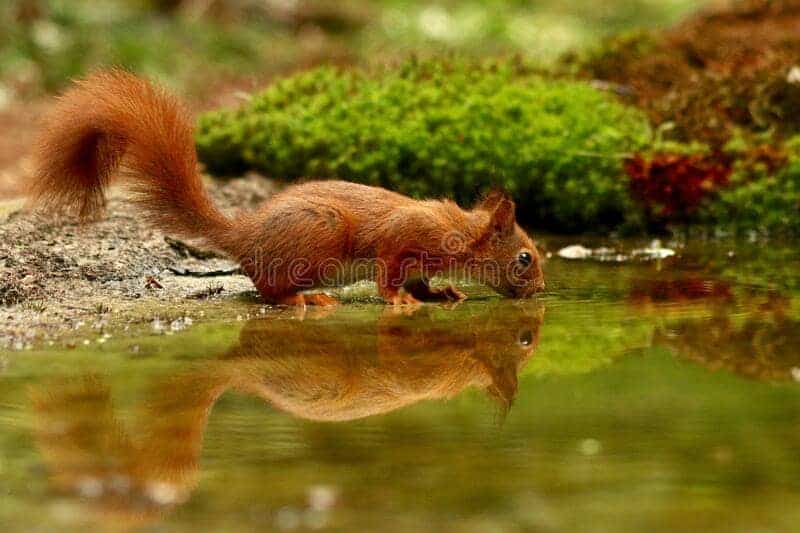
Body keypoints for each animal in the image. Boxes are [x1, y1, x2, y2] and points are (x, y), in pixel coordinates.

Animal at [28, 68, 548, 306]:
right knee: (266, 288)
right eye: (525, 257)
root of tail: (244, 234)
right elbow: (388, 272)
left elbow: (422, 280)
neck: (459, 232)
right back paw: (305, 299)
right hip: (318, 238)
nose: (542, 290)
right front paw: (399, 301)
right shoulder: (403, 236)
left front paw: (441, 294)